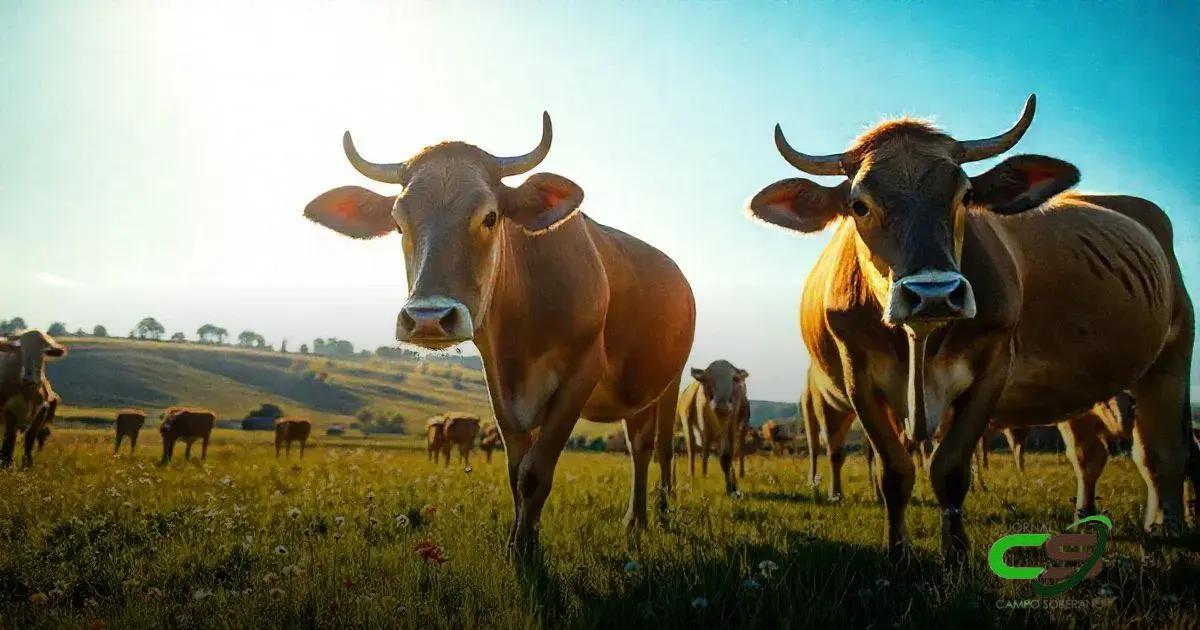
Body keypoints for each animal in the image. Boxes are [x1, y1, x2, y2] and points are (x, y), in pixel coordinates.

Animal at [0, 328, 65, 465]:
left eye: (42, 352)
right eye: (21, 350)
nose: (28, 378)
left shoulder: (41, 412)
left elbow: (30, 438)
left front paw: (28, 464)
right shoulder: (9, 411)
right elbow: (9, 440)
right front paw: (6, 464)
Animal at [302, 112, 696, 554]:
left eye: (490, 217)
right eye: (398, 223)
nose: (428, 318)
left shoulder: (583, 371)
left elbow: (535, 472)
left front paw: (525, 550)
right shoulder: (499, 382)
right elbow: (516, 469)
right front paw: (520, 539)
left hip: (671, 381)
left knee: (659, 447)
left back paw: (654, 515)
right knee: (638, 446)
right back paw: (635, 519)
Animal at [676, 360, 748, 494]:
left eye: (735, 379)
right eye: (708, 379)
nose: (721, 404)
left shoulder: (731, 426)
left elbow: (726, 457)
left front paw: (731, 487)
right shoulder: (705, 428)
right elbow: (705, 453)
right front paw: (704, 478)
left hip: (742, 429)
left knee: (738, 450)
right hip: (687, 422)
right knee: (692, 448)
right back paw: (694, 475)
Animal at [753, 97, 1195, 559]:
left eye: (965, 195)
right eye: (859, 205)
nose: (933, 294)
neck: (919, 343)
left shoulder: (992, 368)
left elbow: (948, 468)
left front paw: (956, 552)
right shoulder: (859, 376)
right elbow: (894, 471)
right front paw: (899, 552)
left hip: (1173, 351)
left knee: (1162, 449)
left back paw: (1166, 525)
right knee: (1090, 453)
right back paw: (1089, 519)